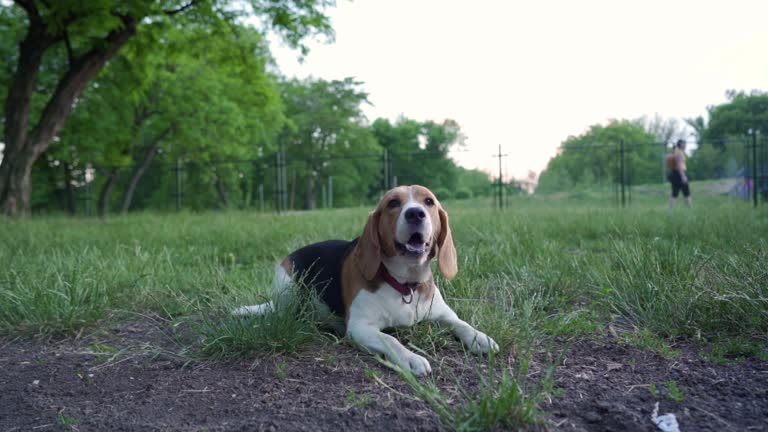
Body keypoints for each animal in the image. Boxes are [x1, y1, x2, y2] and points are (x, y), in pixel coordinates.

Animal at [234, 185, 498, 374]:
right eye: (393, 203)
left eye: (429, 201)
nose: (415, 213)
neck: (404, 284)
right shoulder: (360, 327)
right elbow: (391, 340)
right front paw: (412, 358)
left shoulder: (443, 314)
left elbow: (461, 323)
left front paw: (480, 338)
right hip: (287, 286)